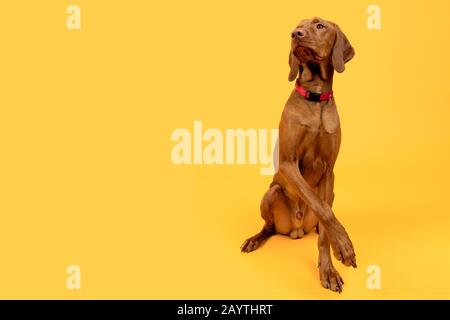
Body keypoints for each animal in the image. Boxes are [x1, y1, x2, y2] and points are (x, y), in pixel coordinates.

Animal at [241, 16, 356, 292]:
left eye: (319, 26)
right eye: (298, 26)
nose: (295, 34)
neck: (315, 98)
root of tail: (296, 228)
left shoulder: (329, 172)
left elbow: (326, 218)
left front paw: (328, 268)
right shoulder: (288, 164)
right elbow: (321, 207)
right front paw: (343, 244)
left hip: (329, 195)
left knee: (320, 223)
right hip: (271, 193)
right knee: (269, 227)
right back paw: (255, 239)